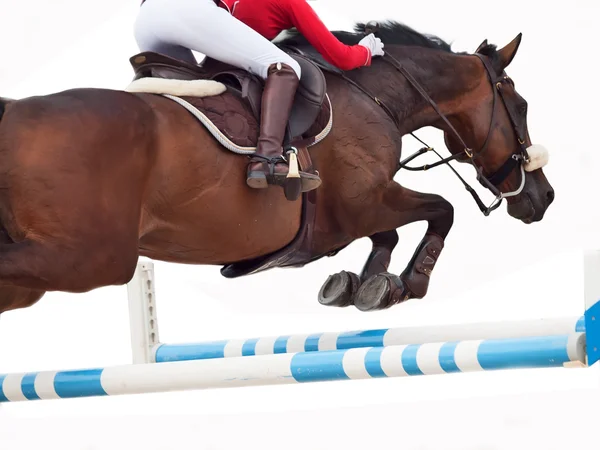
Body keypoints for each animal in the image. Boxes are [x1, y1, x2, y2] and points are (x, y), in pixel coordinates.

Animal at [0, 21, 556, 314]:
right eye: (521, 106)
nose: (543, 197)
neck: (373, 95)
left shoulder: (357, 213)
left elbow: (392, 234)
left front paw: (362, 285)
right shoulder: (361, 205)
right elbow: (441, 210)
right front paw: (404, 285)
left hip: (40, 279)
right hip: (90, 259)